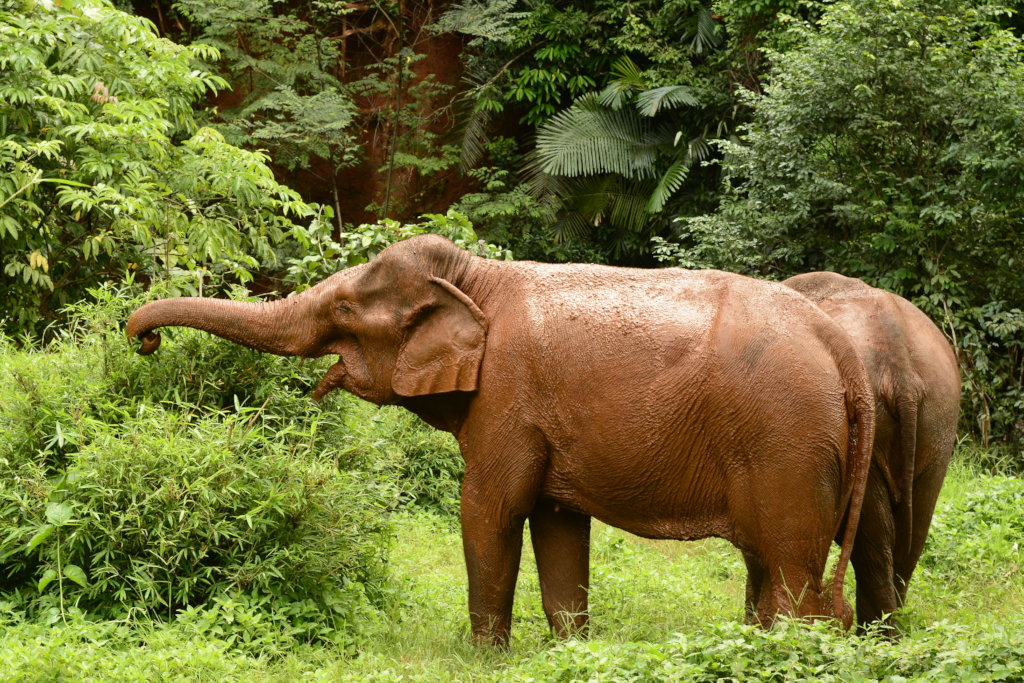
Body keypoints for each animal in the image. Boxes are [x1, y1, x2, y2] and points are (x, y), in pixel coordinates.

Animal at [127, 235, 875, 645]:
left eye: (343, 308)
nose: (143, 340)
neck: (475, 275)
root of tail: (842, 352)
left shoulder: (507, 400)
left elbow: (488, 509)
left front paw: (484, 654)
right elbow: (557, 522)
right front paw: (571, 650)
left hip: (786, 439)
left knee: (789, 564)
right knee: (766, 564)